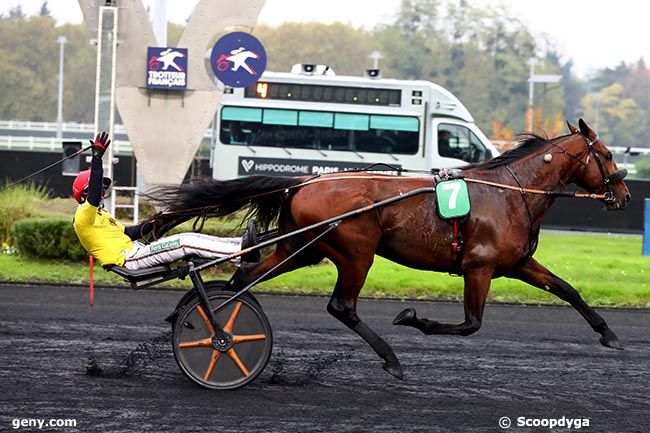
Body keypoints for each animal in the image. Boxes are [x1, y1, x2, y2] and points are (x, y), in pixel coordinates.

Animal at [152, 118, 628, 378]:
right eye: (606, 154)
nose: (623, 194)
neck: (510, 192)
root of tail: (303, 181)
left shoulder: (517, 263)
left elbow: (567, 289)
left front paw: (609, 335)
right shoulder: (479, 267)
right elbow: (470, 324)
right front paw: (413, 318)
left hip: (305, 247)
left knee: (245, 277)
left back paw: (199, 316)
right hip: (354, 252)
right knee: (341, 306)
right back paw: (390, 357)